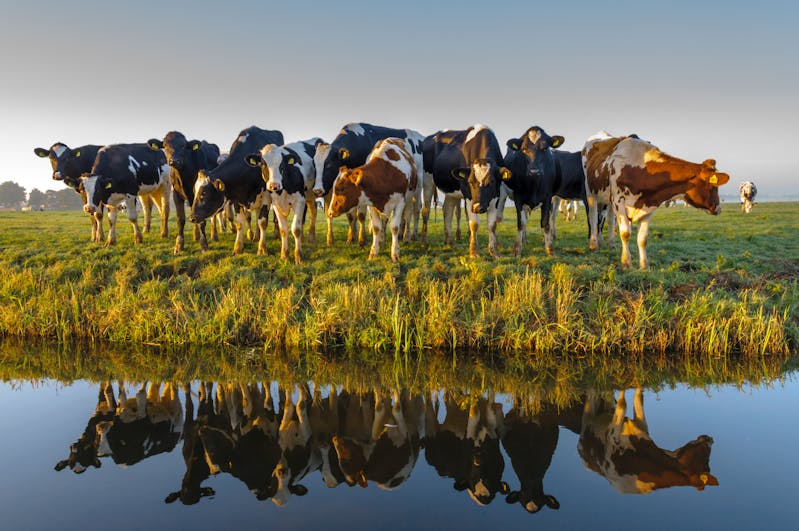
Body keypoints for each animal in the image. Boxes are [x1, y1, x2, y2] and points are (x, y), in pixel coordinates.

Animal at [190, 126, 284, 254]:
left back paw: (275, 234)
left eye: (204, 193)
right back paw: (256, 236)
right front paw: (238, 247)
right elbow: (240, 222)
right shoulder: (236, 196)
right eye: (194, 192)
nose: (192, 217)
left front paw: (262, 248)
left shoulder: (266, 196)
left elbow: (263, 222)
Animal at [424, 125, 510, 257]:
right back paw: (423, 242)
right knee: (426, 211)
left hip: (451, 190)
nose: (478, 208)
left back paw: (449, 241)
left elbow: (492, 225)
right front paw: (473, 252)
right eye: (470, 182)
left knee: (447, 210)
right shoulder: (469, 197)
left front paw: (494, 251)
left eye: (491, 182)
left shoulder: (496, 195)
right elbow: (474, 224)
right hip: (427, 181)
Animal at [578, 388, 719, 494]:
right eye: (706, 459)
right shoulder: (613, 437)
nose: (710, 438)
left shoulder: (639, 426)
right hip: (588, 416)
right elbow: (625, 403)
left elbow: (636, 398)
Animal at [583, 133, 730, 269]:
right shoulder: (619, 201)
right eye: (713, 186)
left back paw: (610, 243)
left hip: (608, 200)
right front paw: (626, 262)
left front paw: (644, 266)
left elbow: (642, 238)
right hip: (591, 193)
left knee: (609, 219)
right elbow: (625, 233)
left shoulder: (648, 205)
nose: (718, 208)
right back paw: (593, 244)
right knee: (593, 218)